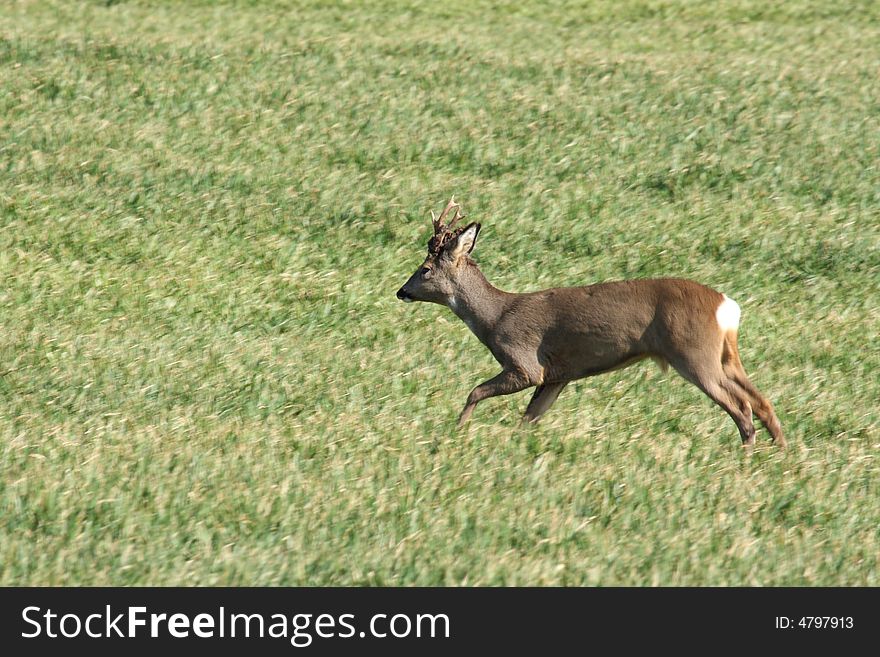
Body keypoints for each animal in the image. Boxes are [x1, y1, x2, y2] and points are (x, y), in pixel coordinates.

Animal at [396, 197, 788, 448]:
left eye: (425, 269)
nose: (401, 291)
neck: (495, 316)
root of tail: (727, 306)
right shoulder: (558, 375)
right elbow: (528, 418)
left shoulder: (525, 364)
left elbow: (475, 390)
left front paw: (457, 432)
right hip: (725, 355)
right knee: (762, 401)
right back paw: (780, 452)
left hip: (694, 353)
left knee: (741, 407)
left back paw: (748, 454)